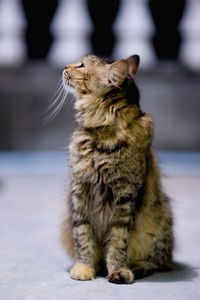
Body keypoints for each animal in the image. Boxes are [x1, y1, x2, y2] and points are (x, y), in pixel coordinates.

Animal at [61, 54, 173, 284]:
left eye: (82, 65)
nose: (64, 66)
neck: (101, 138)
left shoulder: (125, 197)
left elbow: (117, 242)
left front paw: (118, 270)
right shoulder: (79, 193)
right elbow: (83, 237)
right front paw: (84, 268)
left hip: (158, 219)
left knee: (158, 262)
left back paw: (138, 268)